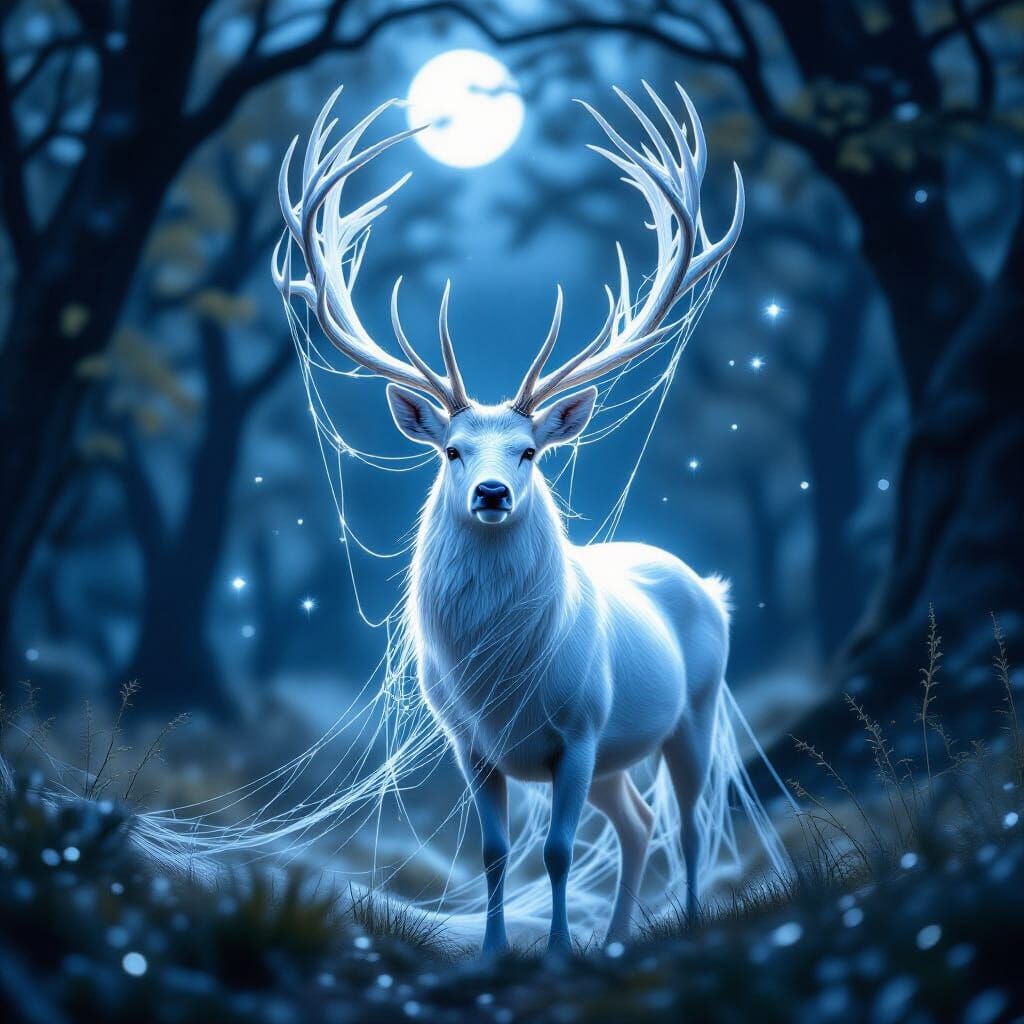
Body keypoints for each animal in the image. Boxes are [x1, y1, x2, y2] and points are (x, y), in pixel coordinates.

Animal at [273, 82, 751, 955]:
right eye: (453, 450)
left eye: (529, 451)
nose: (491, 494)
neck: (504, 684)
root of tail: (708, 584)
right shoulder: (473, 744)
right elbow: (496, 854)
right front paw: (497, 950)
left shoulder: (582, 728)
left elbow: (557, 851)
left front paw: (556, 950)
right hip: (619, 759)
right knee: (636, 824)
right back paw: (617, 937)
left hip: (692, 711)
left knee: (690, 823)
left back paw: (690, 923)